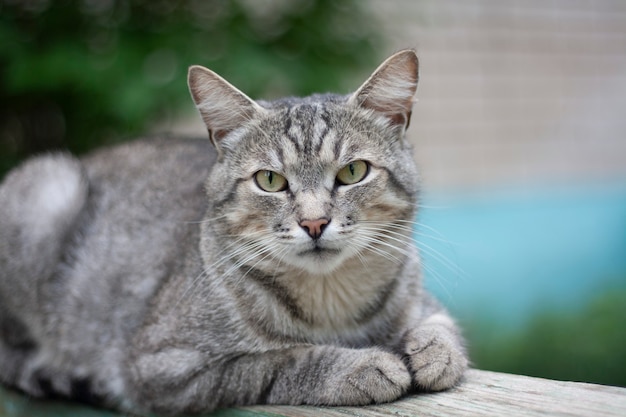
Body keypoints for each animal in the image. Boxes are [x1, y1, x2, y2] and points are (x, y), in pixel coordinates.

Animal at [0, 50, 466, 414]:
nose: (314, 222)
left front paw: (435, 353)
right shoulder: (163, 368)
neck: (329, 302)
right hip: (49, 187)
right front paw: (360, 366)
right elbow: (283, 359)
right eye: (270, 180)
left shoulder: (424, 302)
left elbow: (443, 328)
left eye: (353, 172)